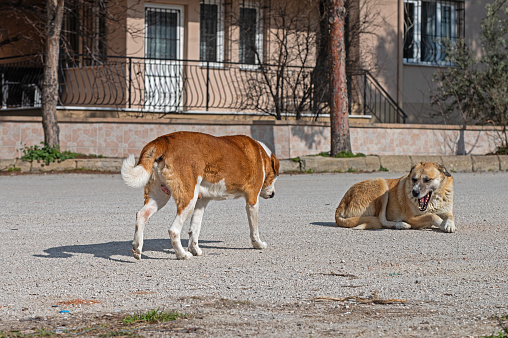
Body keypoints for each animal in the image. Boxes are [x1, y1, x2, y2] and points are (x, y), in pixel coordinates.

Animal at [121, 131, 280, 260]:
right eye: (275, 176)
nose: (273, 194)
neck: (261, 154)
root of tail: (163, 140)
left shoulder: (201, 202)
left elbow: (194, 228)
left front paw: (195, 249)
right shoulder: (252, 201)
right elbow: (254, 228)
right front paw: (258, 244)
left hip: (160, 197)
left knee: (141, 215)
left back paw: (137, 249)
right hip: (188, 199)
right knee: (173, 230)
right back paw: (182, 255)